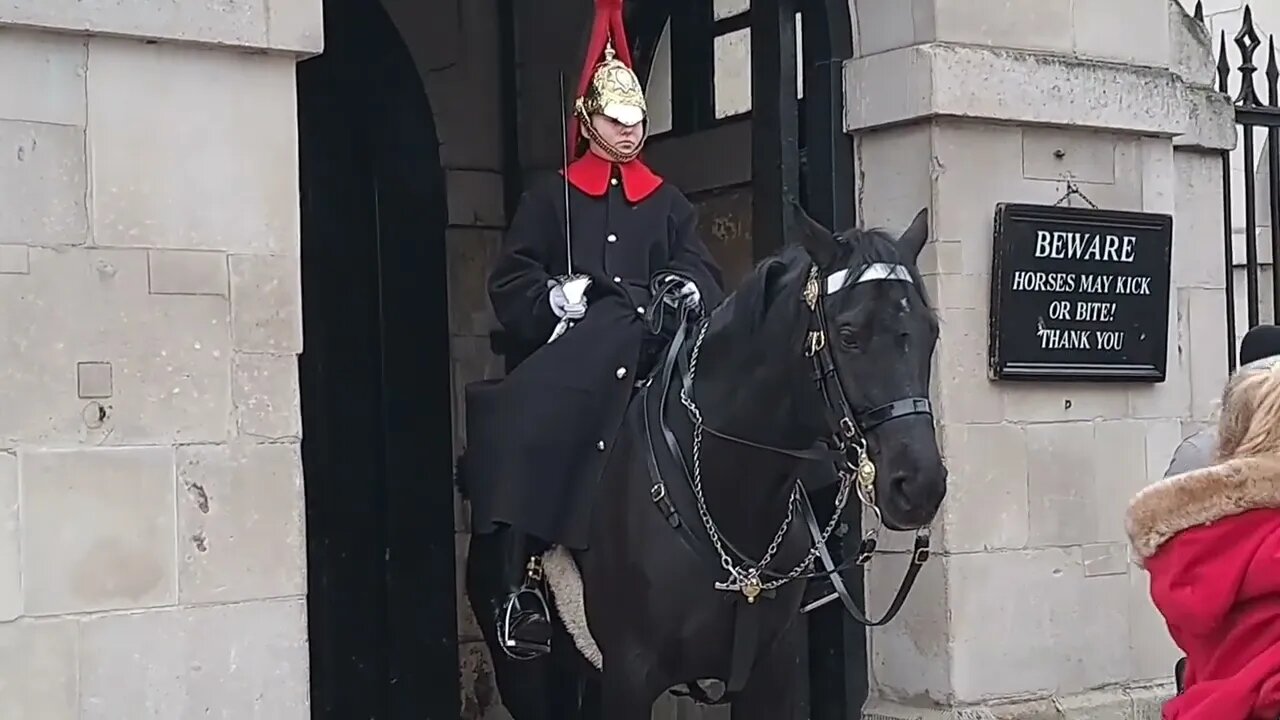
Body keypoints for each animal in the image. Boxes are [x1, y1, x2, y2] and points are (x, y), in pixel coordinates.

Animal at [460, 204, 952, 712]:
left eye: (932, 331)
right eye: (849, 334)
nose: (919, 486)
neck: (733, 495)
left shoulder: (771, 672)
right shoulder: (629, 677)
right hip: (529, 679)